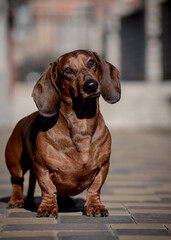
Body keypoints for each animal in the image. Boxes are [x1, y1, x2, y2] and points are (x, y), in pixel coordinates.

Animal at [5, 49, 120, 218]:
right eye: (67, 70)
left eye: (91, 62)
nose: (91, 85)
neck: (81, 124)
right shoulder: (42, 167)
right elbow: (48, 188)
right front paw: (47, 207)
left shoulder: (103, 166)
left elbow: (95, 188)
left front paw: (95, 206)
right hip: (16, 165)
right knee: (17, 182)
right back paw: (16, 200)